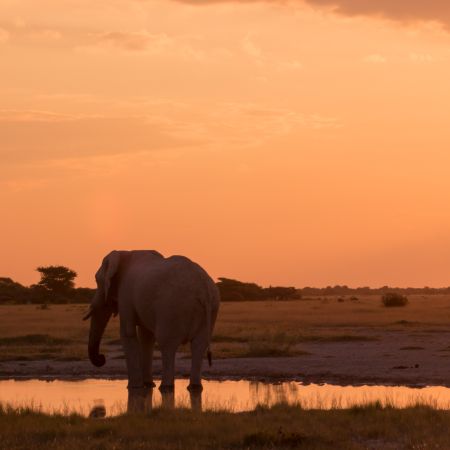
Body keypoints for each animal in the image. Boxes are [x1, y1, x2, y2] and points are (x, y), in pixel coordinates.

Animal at [83, 251, 221, 396]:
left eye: (97, 281)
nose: (102, 358)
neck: (123, 253)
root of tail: (203, 289)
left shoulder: (125, 293)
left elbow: (128, 333)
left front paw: (134, 388)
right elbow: (146, 337)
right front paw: (148, 385)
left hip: (172, 308)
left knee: (167, 345)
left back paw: (166, 388)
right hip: (212, 307)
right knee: (199, 345)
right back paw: (194, 387)